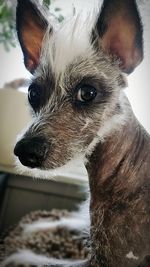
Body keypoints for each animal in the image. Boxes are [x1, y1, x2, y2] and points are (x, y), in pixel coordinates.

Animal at [1, 0, 150, 266]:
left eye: (88, 92)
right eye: (33, 94)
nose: (25, 151)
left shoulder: (111, 260)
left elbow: (41, 261)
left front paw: (19, 255)